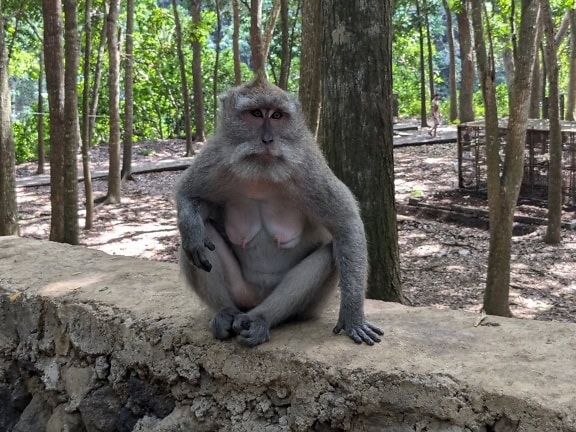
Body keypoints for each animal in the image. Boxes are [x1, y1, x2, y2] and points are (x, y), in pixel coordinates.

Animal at [176, 77, 382, 348]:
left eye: (276, 115)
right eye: (255, 113)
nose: (267, 140)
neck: (262, 173)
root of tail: (254, 302)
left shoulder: (309, 168)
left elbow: (345, 224)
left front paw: (353, 315)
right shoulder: (216, 158)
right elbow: (187, 194)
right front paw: (190, 224)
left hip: (302, 305)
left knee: (328, 256)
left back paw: (260, 319)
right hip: (242, 292)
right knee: (194, 243)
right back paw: (225, 311)